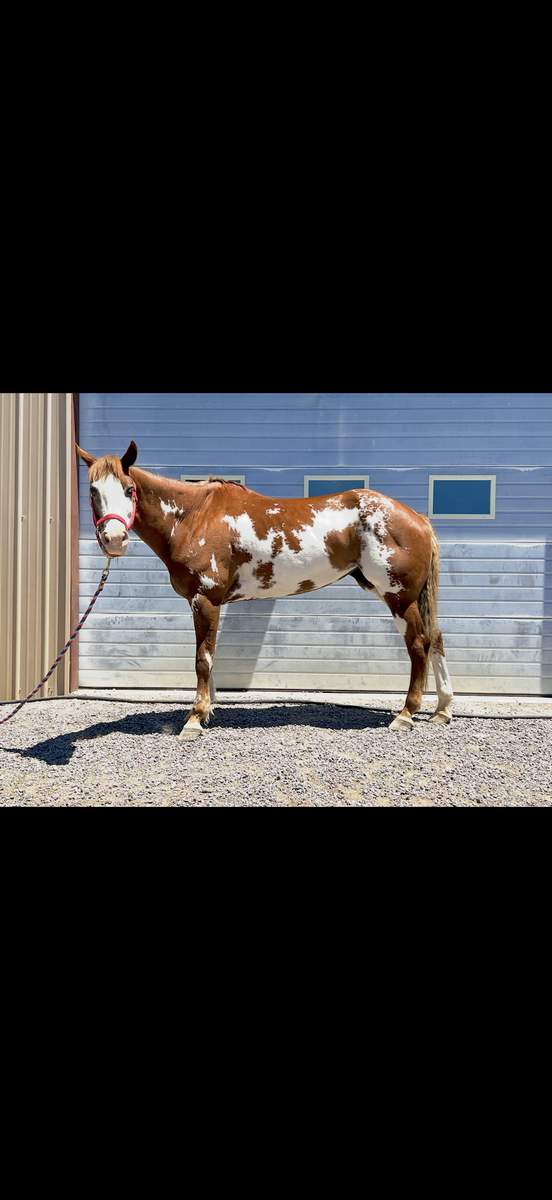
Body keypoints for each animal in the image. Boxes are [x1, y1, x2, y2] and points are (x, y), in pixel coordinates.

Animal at [77, 441, 454, 740]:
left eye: (129, 489)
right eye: (93, 491)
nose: (114, 540)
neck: (193, 517)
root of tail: (418, 518)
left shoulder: (205, 599)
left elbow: (202, 659)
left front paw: (195, 719)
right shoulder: (205, 602)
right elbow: (210, 657)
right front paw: (208, 709)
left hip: (398, 597)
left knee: (419, 644)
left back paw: (406, 714)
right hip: (396, 593)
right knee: (435, 638)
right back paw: (443, 709)